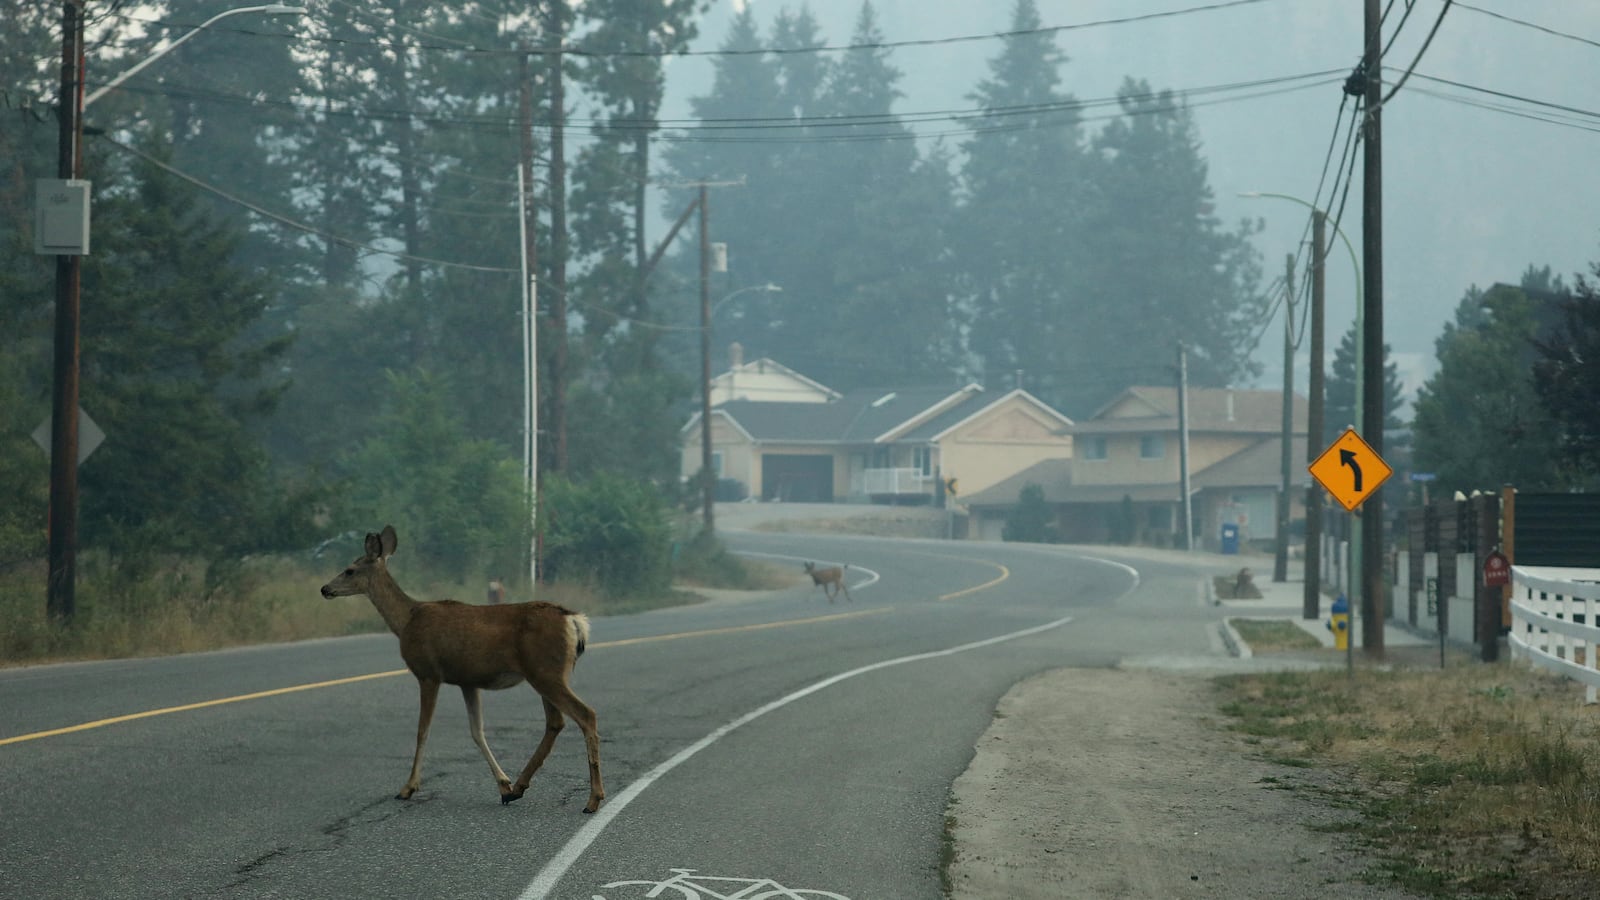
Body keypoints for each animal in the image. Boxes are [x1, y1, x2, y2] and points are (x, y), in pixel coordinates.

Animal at [319, 526, 604, 813]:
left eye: (350, 569)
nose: (324, 588)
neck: (406, 619)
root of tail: (574, 620)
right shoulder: (468, 681)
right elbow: (477, 732)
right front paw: (503, 784)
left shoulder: (428, 673)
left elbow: (422, 731)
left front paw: (408, 787)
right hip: (544, 674)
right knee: (555, 722)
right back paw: (518, 788)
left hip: (546, 672)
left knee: (585, 714)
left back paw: (593, 799)